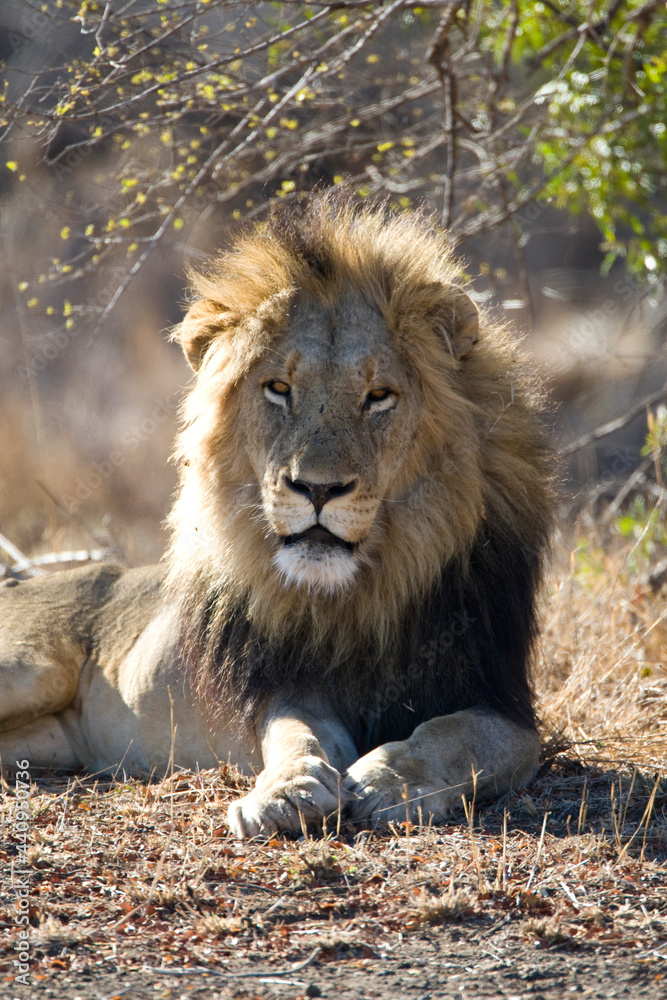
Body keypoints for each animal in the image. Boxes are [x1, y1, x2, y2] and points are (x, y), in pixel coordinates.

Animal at [0, 196, 553, 837]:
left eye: (379, 397)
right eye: (279, 388)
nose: (317, 488)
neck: (363, 594)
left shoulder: (503, 703)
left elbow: (453, 735)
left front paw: (392, 779)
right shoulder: (289, 685)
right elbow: (297, 735)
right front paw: (286, 792)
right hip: (30, 667)